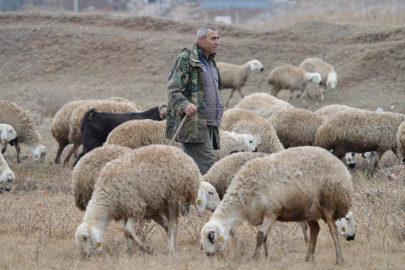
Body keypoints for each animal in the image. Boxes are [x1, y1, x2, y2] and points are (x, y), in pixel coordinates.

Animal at [76, 144, 221, 256]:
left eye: (85, 238)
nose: (84, 255)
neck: (106, 197)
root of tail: (188, 160)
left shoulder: (135, 205)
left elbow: (128, 230)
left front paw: (147, 249)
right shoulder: (125, 208)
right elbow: (125, 231)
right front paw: (128, 251)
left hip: (173, 198)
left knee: (173, 225)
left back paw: (170, 250)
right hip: (165, 202)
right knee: (170, 225)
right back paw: (171, 246)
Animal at [200, 146, 352, 264]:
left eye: (211, 238)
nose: (210, 258)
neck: (242, 202)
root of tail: (340, 164)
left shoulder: (272, 212)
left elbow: (260, 235)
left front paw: (255, 258)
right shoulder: (263, 215)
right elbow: (265, 236)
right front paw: (266, 257)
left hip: (329, 203)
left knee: (333, 230)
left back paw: (339, 259)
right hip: (310, 210)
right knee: (315, 229)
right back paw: (308, 258)